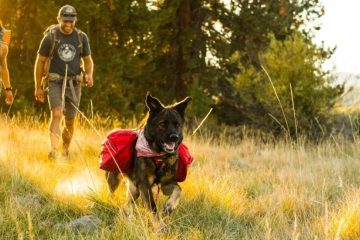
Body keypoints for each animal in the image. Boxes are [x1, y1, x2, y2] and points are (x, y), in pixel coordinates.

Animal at [106, 93, 193, 228]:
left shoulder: (166, 183)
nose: (174, 137)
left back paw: (130, 217)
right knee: (112, 194)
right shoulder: (145, 185)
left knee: (128, 203)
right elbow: (152, 208)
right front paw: (159, 226)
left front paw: (169, 206)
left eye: (177, 124)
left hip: (135, 189)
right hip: (115, 179)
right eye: (162, 124)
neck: (158, 156)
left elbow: (178, 190)